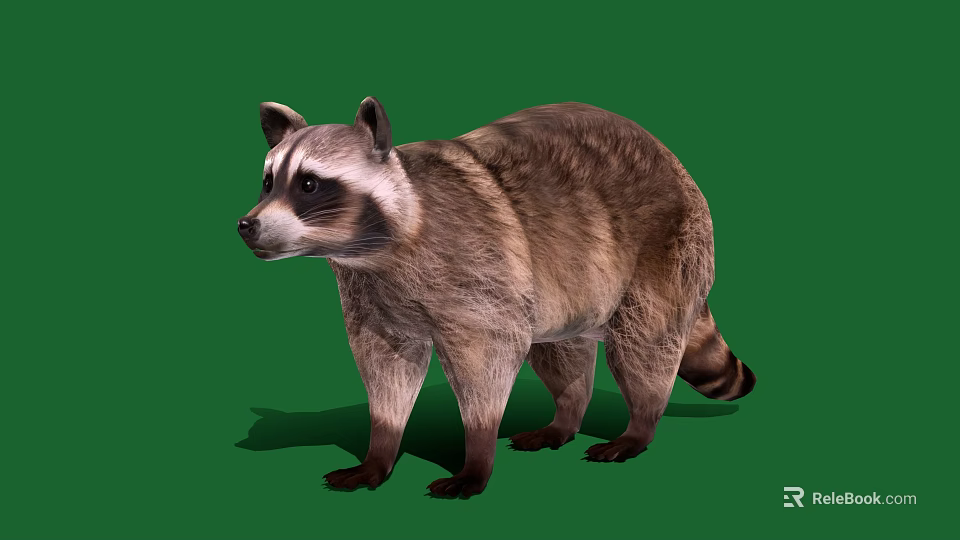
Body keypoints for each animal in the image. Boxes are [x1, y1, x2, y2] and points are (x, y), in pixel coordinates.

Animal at [237, 97, 756, 498]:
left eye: (309, 184)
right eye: (267, 182)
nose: (247, 225)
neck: (375, 252)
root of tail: (676, 163)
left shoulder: (476, 269)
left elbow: (488, 357)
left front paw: (476, 454)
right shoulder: (372, 296)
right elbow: (387, 365)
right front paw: (381, 446)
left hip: (665, 248)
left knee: (643, 342)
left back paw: (639, 425)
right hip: (566, 287)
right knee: (561, 352)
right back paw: (566, 415)